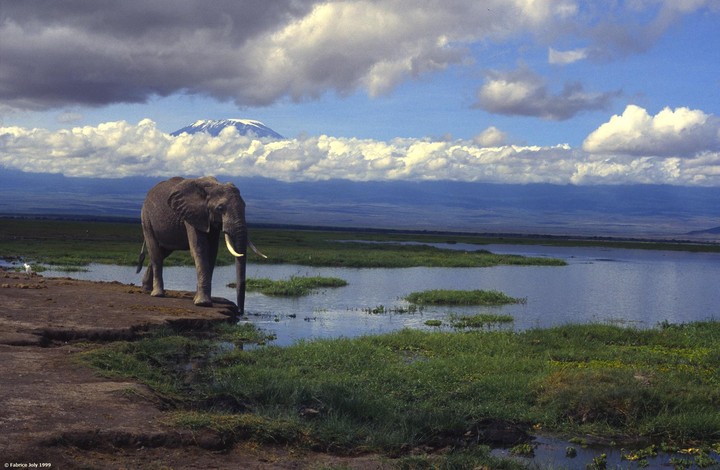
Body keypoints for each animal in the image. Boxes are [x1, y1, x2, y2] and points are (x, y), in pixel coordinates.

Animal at [137, 176, 262, 314]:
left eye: (245, 206)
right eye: (220, 208)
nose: (240, 311)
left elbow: (212, 251)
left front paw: (198, 299)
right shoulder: (193, 215)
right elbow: (200, 249)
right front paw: (203, 303)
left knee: (162, 252)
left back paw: (146, 289)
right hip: (146, 218)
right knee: (155, 252)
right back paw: (157, 294)